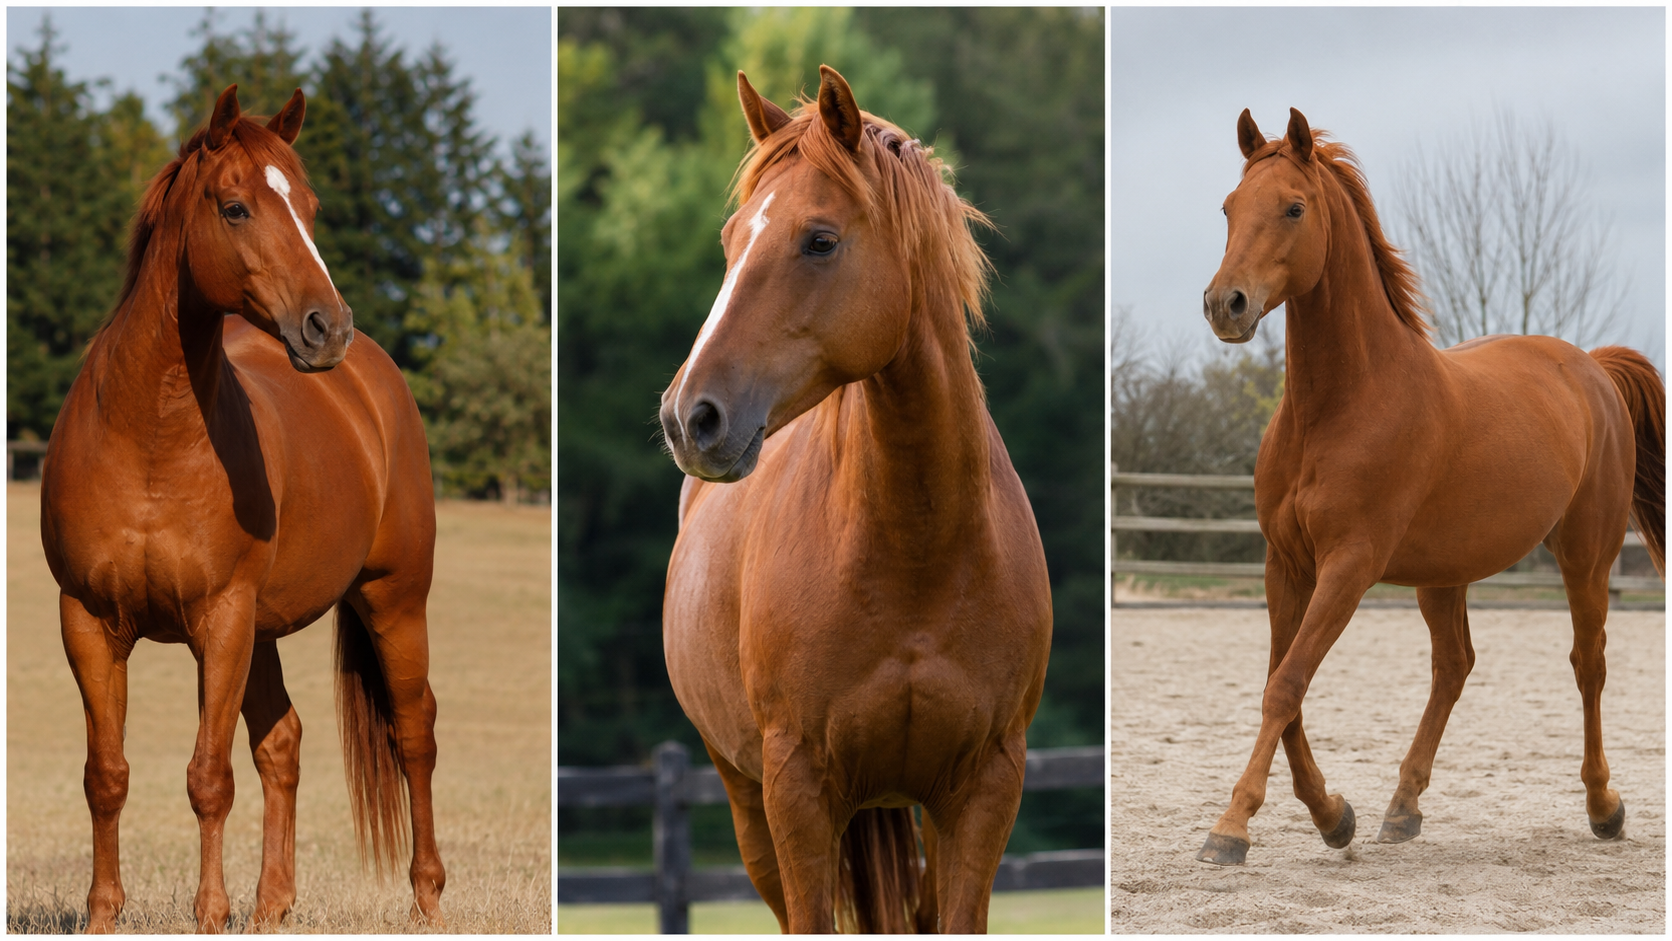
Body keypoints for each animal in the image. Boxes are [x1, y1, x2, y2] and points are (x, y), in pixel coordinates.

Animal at [40, 86, 445, 932]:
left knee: (414, 731)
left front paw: (209, 912)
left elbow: (208, 776)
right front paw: (103, 913)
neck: (150, 438)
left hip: (393, 598)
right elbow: (107, 773)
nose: (327, 327)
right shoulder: (88, 621)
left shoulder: (220, 621)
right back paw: (272, 903)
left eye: (311, 207)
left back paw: (427, 893)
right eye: (234, 207)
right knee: (283, 741)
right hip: (264, 629)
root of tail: (374, 379)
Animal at [657, 66, 1053, 933]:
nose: (689, 416)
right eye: (731, 241)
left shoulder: (985, 788)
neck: (918, 550)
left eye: (819, 240)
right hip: (747, 799)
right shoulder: (797, 786)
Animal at [1195, 107, 1666, 866]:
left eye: (1294, 208)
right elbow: (1283, 687)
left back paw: (1603, 807)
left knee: (1586, 664)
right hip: (1443, 573)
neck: (1340, 408)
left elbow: (1287, 684)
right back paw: (1403, 807)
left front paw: (1231, 828)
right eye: (1230, 208)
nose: (1224, 305)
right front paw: (1333, 815)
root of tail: (1591, 366)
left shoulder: (1349, 566)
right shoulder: (1285, 564)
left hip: (1585, 556)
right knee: (1454, 666)